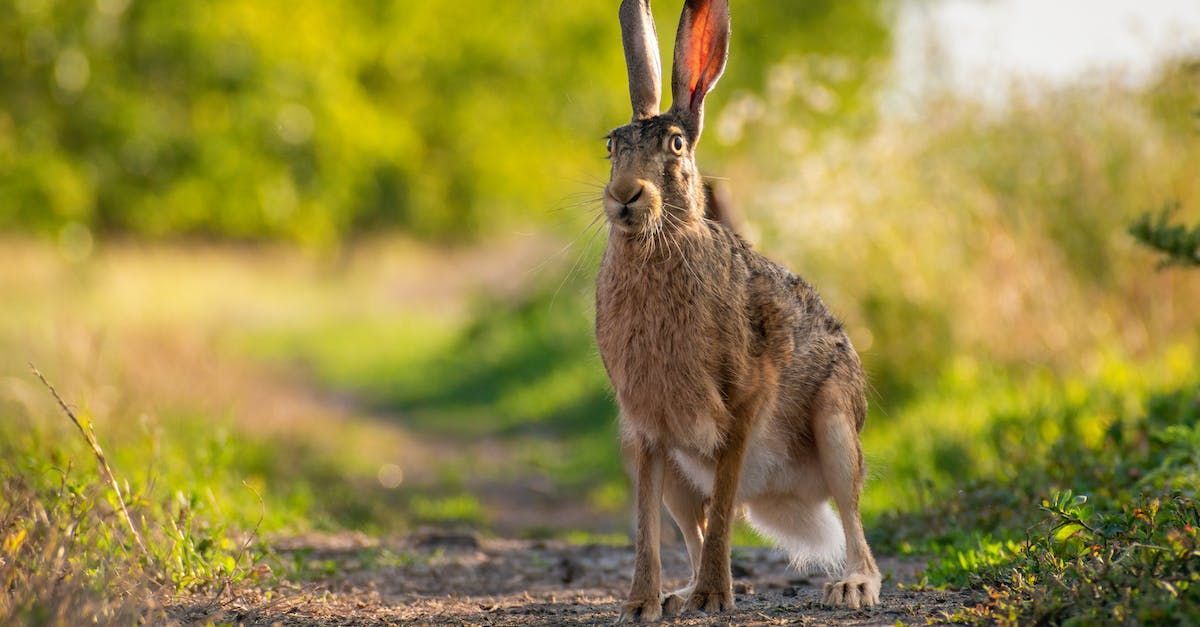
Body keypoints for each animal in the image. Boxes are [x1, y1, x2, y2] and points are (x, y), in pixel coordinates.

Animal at [594, 0, 882, 621]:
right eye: (611, 145)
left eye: (676, 145)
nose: (625, 195)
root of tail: (780, 495)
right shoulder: (645, 430)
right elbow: (646, 526)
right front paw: (639, 606)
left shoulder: (744, 403)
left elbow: (724, 506)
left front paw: (713, 597)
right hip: (680, 478)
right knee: (692, 527)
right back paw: (677, 596)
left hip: (835, 425)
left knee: (851, 520)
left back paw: (850, 586)